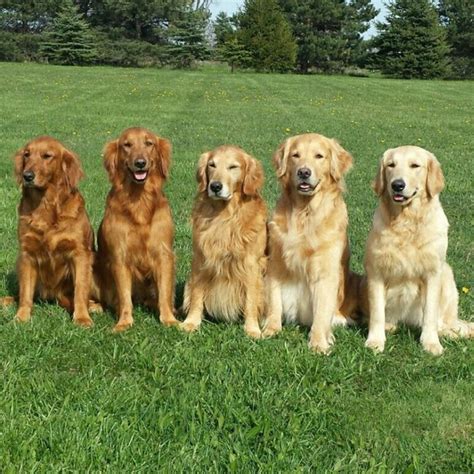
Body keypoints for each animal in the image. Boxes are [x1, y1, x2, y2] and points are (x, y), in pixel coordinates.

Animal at [2, 136, 94, 326]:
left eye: (47, 156)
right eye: (27, 154)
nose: (27, 176)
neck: (45, 205)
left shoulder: (80, 254)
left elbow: (80, 290)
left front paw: (82, 317)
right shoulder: (27, 254)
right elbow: (25, 293)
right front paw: (22, 316)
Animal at [94, 128, 178, 332]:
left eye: (149, 143)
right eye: (127, 145)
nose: (140, 163)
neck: (139, 200)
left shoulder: (164, 254)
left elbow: (164, 293)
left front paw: (169, 319)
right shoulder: (120, 256)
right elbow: (124, 296)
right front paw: (124, 322)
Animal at [181, 144, 268, 336]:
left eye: (233, 167)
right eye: (212, 165)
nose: (215, 186)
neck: (225, 216)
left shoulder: (251, 264)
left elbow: (251, 300)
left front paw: (252, 329)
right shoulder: (201, 260)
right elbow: (197, 295)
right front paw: (191, 322)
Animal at [262, 133, 360, 352]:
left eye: (319, 156)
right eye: (295, 155)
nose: (304, 172)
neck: (305, 213)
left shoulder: (326, 272)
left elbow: (322, 312)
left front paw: (318, 343)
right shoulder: (275, 264)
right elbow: (273, 301)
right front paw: (270, 329)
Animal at [362, 146, 472, 354]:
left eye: (415, 166)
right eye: (391, 165)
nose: (397, 185)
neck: (406, 222)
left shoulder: (433, 273)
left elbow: (429, 313)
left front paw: (430, 343)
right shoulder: (376, 272)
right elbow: (377, 313)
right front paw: (375, 341)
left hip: (447, 273)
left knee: (445, 323)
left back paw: (449, 333)